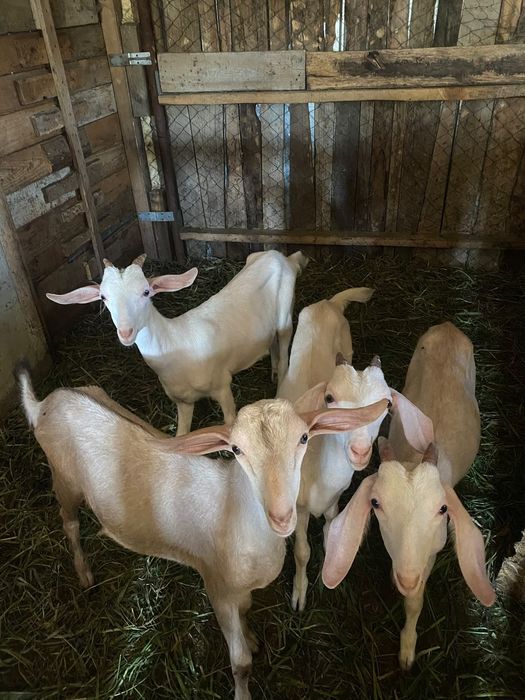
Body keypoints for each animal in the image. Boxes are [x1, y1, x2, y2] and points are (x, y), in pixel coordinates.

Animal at [18, 366, 388, 699]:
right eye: (236, 450)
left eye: (304, 438)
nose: (282, 516)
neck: (234, 507)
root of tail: (46, 402)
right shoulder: (216, 586)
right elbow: (240, 662)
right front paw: (243, 685)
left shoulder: (238, 587)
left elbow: (246, 608)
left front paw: (251, 637)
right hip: (64, 480)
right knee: (69, 523)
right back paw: (83, 573)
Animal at [46, 250, 308, 435]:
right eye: (103, 297)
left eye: (146, 292)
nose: (126, 332)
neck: (174, 345)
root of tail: (283, 257)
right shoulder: (183, 401)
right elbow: (182, 436)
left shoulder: (222, 385)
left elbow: (230, 423)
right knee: (271, 343)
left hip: (285, 314)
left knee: (285, 347)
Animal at [277, 288, 391, 610]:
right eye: (329, 398)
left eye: (387, 404)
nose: (360, 451)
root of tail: (330, 302)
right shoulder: (299, 508)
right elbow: (302, 551)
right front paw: (299, 594)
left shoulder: (334, 499)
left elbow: (330, 533)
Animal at [322, 322, 496, 669]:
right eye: (376, 504)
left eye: (443, 509)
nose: (407, 578)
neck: (414, 458)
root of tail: (449, 326)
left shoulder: (430, 553)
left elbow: (415, 602)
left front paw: (407, 649)